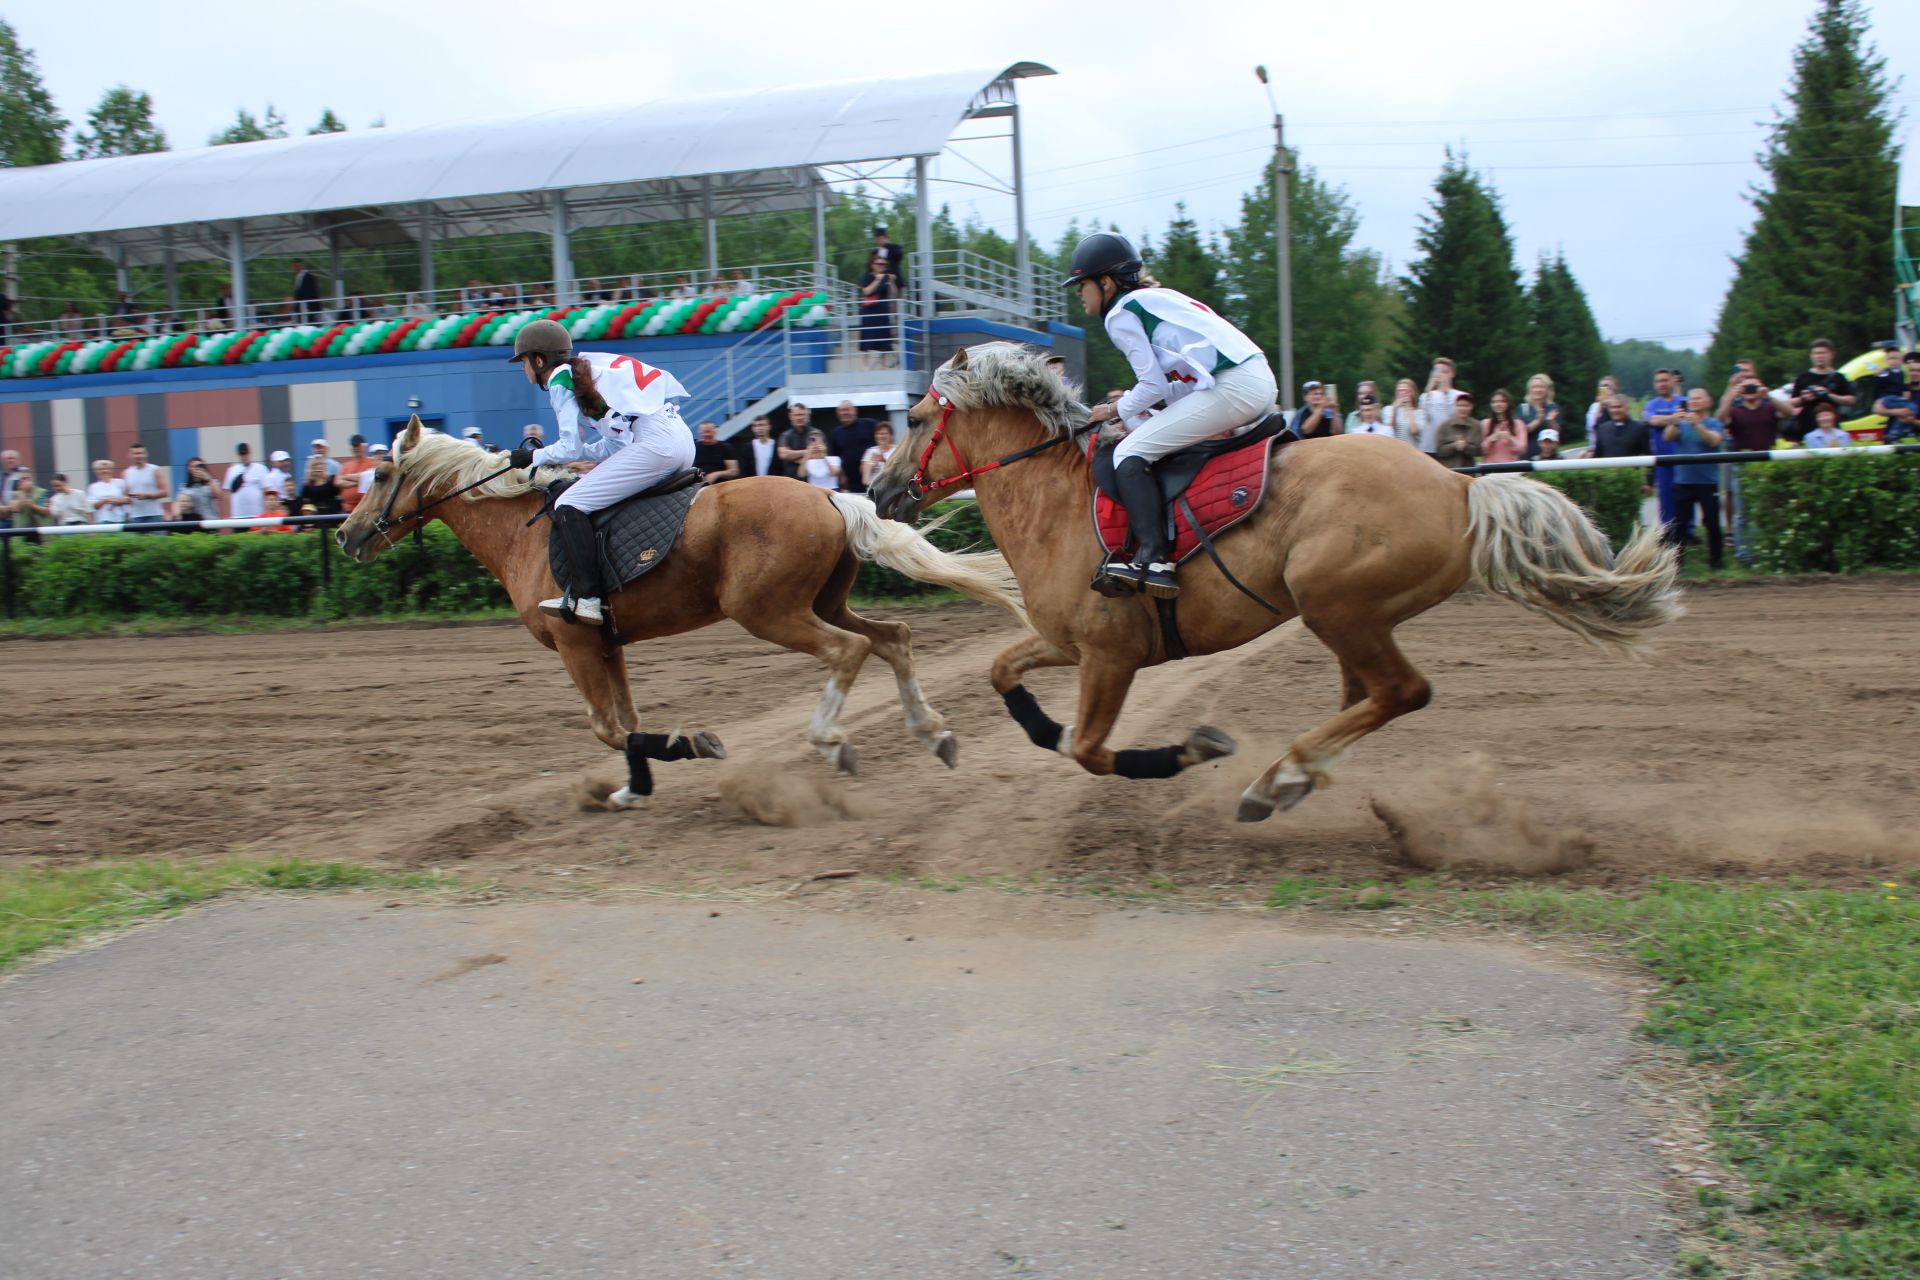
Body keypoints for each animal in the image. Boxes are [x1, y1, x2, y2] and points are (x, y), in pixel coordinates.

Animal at [341, 418, 1036, 802]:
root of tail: (829, 496)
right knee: (892, 637)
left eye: (381, 475)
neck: (522, 532)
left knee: (852, 650)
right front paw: (635, 784)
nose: (347, 535)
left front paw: (687, 746)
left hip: (771, 612)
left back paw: (832, 740)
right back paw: (933, 732)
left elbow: (607, 726)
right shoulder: (606, 643)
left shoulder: (575, 644)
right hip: (824, 601)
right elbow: (623, 722)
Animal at [871, 343, 1681, 821]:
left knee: (1402, 691)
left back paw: (1276, 777)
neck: (1057, 500)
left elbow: (1093, 751)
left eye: (917, 418)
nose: (878, 490)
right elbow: (1005, 674)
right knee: (1367, 696)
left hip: (1337, 605)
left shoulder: (1109, 655)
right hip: (1348, 618)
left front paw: (1194, 750)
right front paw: (984, 736)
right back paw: (1291, 777)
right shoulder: (1065, 640)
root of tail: (1458, 485)